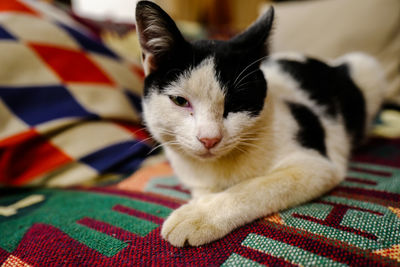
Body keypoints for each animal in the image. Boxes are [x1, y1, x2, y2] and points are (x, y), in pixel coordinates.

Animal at [135, 0, 388, 248]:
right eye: (180, 101)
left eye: (236, 103)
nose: (209, 139)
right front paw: (202, 202)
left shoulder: (316, 166)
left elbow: (254, 187)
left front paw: (199, 215)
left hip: (366, 66)